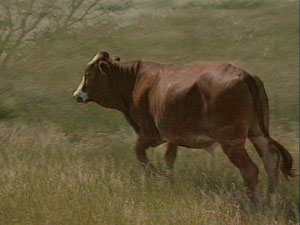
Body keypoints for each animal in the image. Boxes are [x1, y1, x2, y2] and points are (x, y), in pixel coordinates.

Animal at [74, 51, 294, 203]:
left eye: (89, 74)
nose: (77, 95)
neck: (136, 80)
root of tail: (244, 74)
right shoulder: (173, 136)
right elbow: (169, 159)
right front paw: (169, 180)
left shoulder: (151, 134)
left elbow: (140, 154)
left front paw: (156, 176)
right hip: (258, 133)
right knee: (271, 160)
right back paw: (271, 199)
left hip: (232, 141)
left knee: (250, 170)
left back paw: (254, 203)